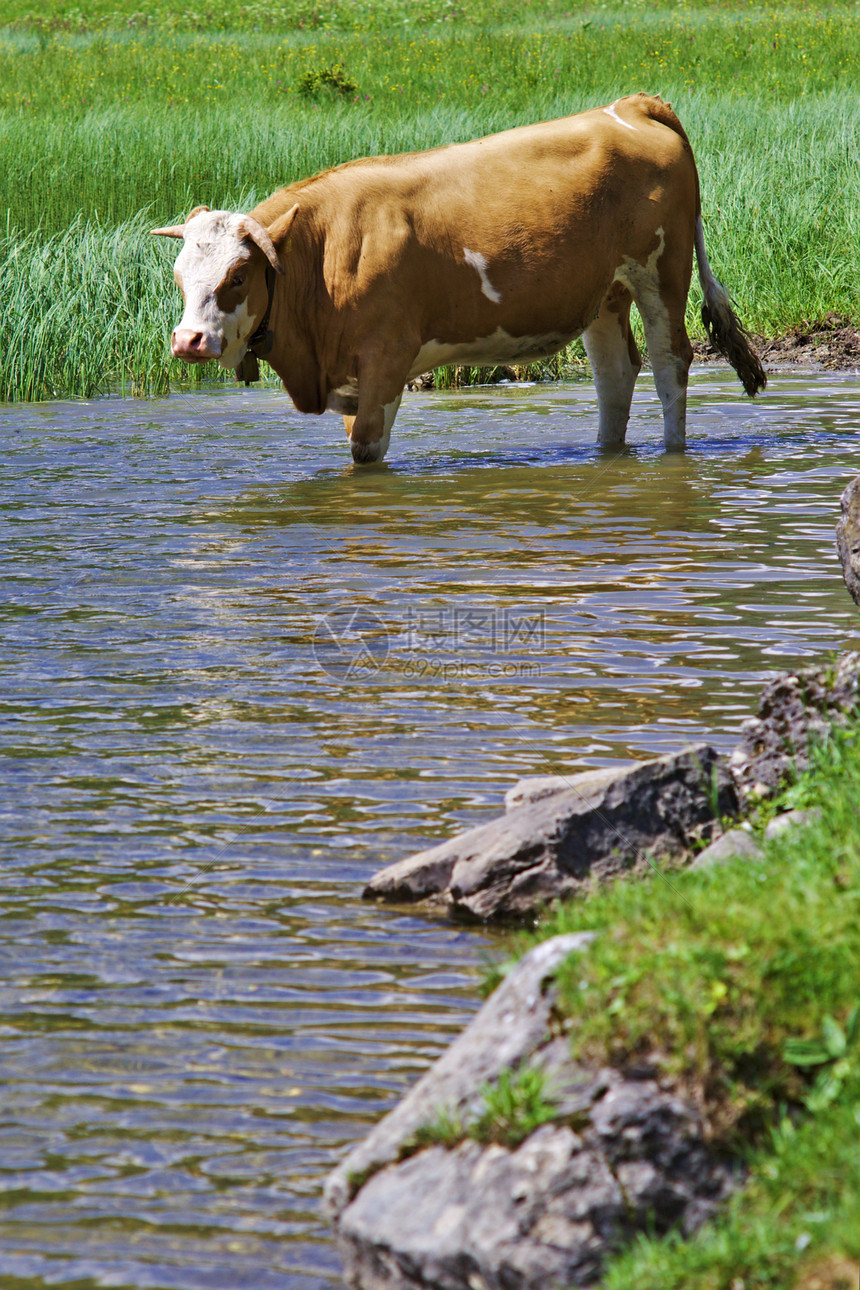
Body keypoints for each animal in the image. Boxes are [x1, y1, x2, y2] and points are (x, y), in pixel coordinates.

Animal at [152, 98, 768, 466]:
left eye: (238, 274)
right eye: (179, 276)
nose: (188, 341)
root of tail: (629, 105)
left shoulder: (386, 360)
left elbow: (366, 453)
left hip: (662, 271)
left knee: (669, 363)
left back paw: (673, 454)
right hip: (604, 291)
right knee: (616, 374)